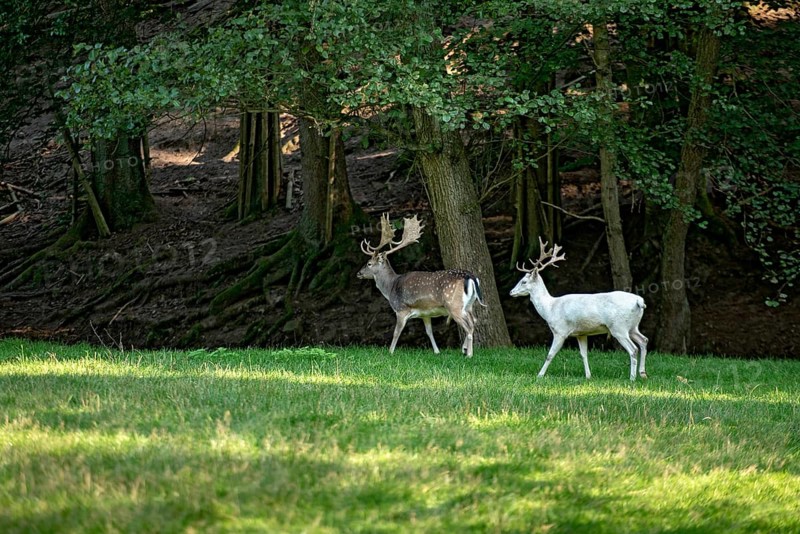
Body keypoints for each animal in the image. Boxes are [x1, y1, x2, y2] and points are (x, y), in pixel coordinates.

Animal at [357, 213, 485, 357]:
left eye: (369, 263)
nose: (359, 273)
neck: (391, 287)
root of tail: (471, 277)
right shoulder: (425, 314)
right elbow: (429, 332)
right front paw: (437, 351)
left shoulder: (401, 309)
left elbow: (396, 332)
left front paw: (390, 352)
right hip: (469, 305)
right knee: (474, 321)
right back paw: (464, 349)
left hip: (454, 305)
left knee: (469, 326)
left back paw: (469, 354)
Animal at [510, 237, 649, 381]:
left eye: (524, 281)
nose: (511, 292)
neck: (550, 309)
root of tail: (639, 301)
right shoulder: (581, 333)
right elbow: (583, 354)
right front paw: (588, 376)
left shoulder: (560, 331)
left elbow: (550, 354)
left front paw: (540, 375)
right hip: (632, 326)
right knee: (644, 341)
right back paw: (643, 374)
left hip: (618, 327)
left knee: (633, 349)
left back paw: (632, 378)